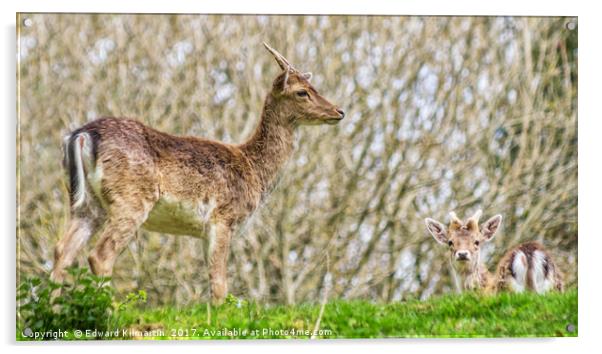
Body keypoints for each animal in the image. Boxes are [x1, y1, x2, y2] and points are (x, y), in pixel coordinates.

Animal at [49, 43, 344, 304]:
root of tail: (82, 135)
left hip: (87, 203)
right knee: (100, 254)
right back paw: (109, 311)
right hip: (131, 199)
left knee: (63, 250)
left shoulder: (205, 230)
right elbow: (220, 284)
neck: (254, 172)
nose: (339, 110)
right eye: (302, 92)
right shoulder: (224, 218)